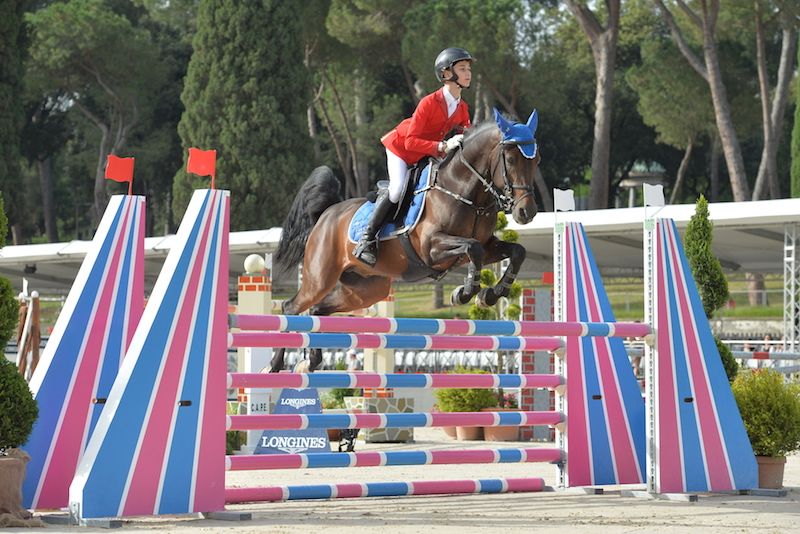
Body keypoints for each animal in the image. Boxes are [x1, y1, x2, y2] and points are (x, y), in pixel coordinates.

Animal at [270, 108, 541, 372]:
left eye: (536, 160)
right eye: (510, 159)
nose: (526, 212)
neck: (465, 192)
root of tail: (326, 214)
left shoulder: (488, 245)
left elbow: (517, 252)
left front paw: (491, 294)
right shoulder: (432, 249)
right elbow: (473, 249)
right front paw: (463, 293)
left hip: (366, 290)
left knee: (317, 309)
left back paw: (312, 360)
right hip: (320, 277)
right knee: (290, 308)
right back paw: (275, 365)